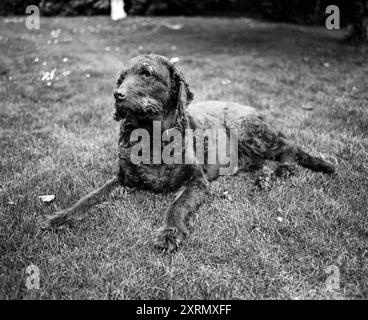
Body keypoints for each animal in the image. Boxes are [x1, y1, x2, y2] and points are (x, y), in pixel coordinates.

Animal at [41, 53, 334, 251]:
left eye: (146, 74)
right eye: (121, 78)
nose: (117, 95)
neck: (151, 137)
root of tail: (253, 109)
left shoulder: (197, 181)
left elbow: (177, 205)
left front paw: (169, 233)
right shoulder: (122, 179)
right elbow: (89, 198)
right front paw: (60, 218)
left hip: (245, 129)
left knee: (288, 146)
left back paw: (287, 168)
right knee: (264, 162)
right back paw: (264, 177)